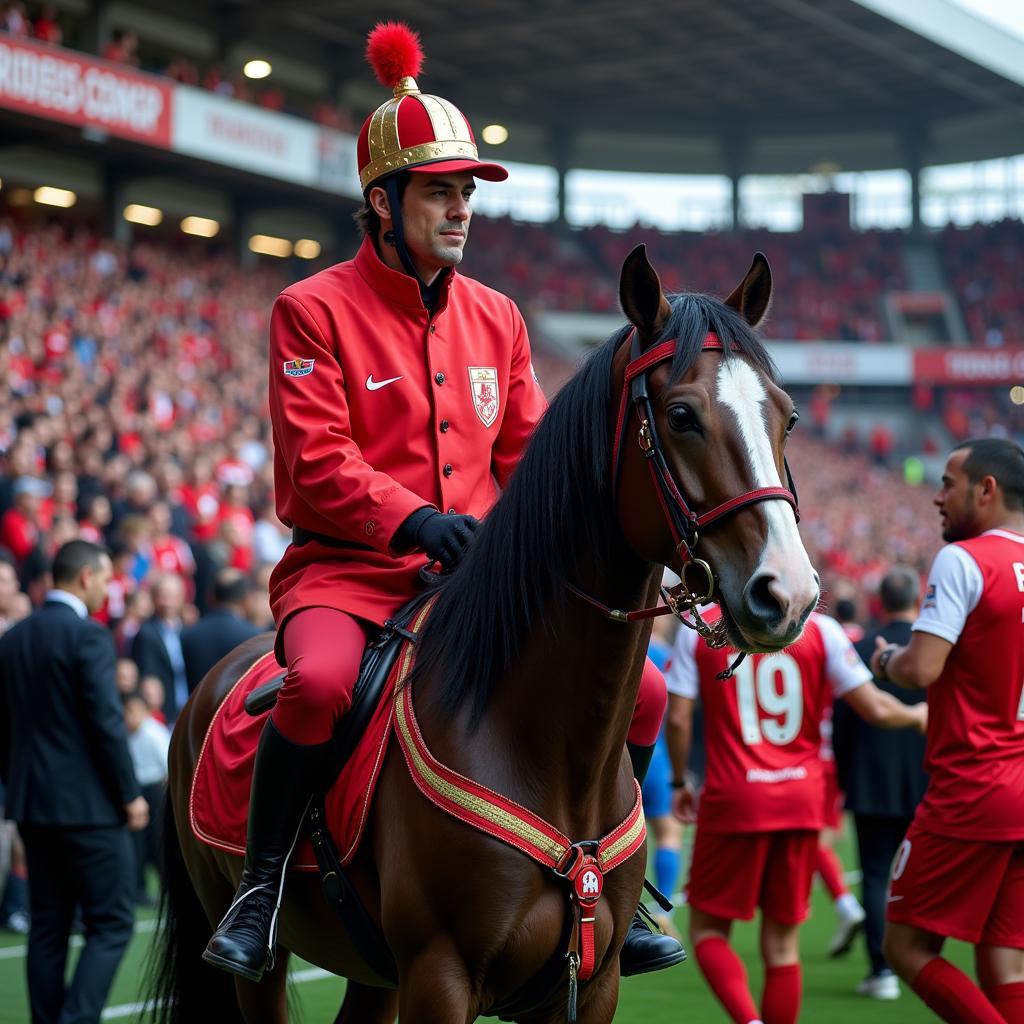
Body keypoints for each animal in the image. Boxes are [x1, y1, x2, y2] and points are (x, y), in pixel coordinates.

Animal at [151, 243, 819, 1019]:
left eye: (788, 417)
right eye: (682, 415)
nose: (788, 591)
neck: (543, 739)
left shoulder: (591, 983)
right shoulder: (441, 975)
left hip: (375, 973)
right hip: (259, 957)